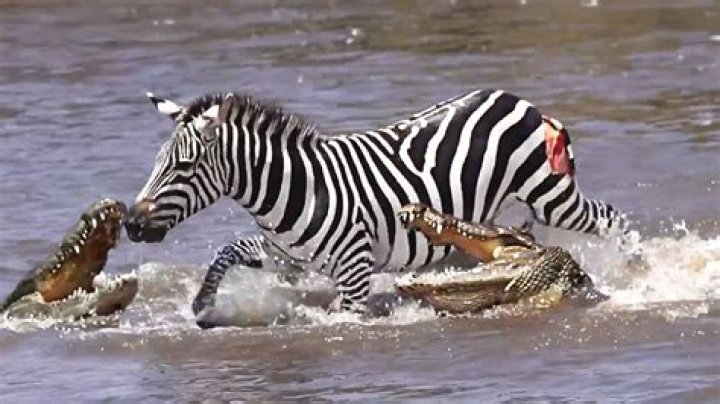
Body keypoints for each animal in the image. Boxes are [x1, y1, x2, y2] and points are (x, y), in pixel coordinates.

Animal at [124, 89, 622, 324]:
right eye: (156, 162)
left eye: (183, 166)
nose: (130, 224)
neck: (297, 189)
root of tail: (522, 102)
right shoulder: (286, 258)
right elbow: (226, 252)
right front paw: (203, 303)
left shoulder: (355, 272)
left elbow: (341, 317)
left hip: (550, 194)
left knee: (609, 218)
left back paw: (629, 264)